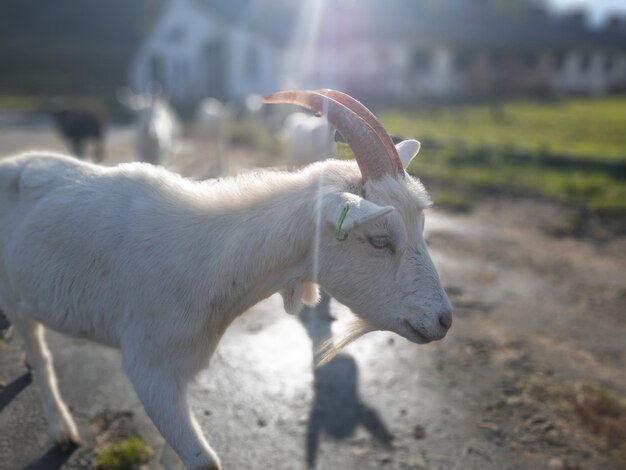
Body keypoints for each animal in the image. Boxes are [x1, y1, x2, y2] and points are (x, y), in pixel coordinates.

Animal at [0, 90, 448, 468]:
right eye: (379, 239)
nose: (443, 320)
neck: (210, 256)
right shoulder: (149, 368)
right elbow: (205, 461)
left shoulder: (182, 369)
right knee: (41, 355)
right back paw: (61, 428)